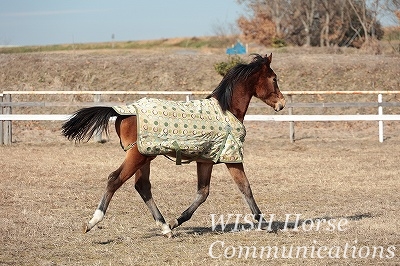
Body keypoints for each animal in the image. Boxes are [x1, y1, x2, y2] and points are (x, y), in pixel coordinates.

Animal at [61, 53, 284, 237]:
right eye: (274, 78)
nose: (281, 104)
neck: (227, 109)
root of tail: (123, 111)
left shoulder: (205, 161)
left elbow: (203, 193)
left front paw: (176, 221)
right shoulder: (232, 158)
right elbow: (245, 188)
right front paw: (264, 223)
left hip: (144, 157)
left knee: (142, 186)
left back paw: (165, 228)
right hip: (138, 156)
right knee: (114, 179)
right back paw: (92, 222)